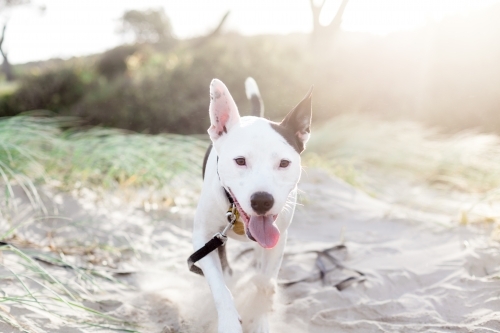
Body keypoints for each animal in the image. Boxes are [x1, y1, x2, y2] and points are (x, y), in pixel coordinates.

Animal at [189, 78, 310, 332]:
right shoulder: (204, 239)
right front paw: (229, 322)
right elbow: (220, 287)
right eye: (240, 161)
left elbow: (265, 278)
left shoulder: (279, 237)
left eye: (284, 163)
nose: (262, 200)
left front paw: (263, 302)